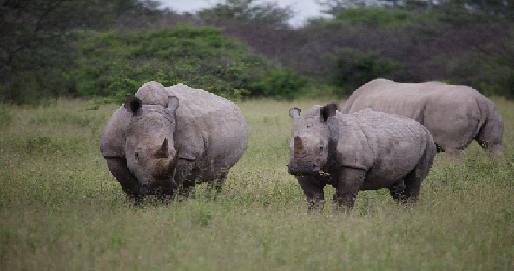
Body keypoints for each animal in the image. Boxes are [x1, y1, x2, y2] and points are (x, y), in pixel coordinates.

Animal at [100, 82, 248, 201]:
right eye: (136, 155)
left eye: (174, 152)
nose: (159, 188)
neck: (152, 105)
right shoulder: (112, 153)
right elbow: (128, 184)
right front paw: (137, 204)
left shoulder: (186, 155)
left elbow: (178, 177)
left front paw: (165, 202)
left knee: (220, 174)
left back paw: (209, 201)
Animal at [286, 104, 434, 210]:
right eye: (289, 148)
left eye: (321, 147)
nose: (300, 167)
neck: (330, 129)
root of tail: (423, 128)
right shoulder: (310, 170)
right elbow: (314, 199)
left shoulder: (354, 165)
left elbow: (344, 198)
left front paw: (339, 221)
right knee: (397, 184)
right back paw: (402, 212)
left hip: (427, 141)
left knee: (415, 181)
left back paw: (409, 211)